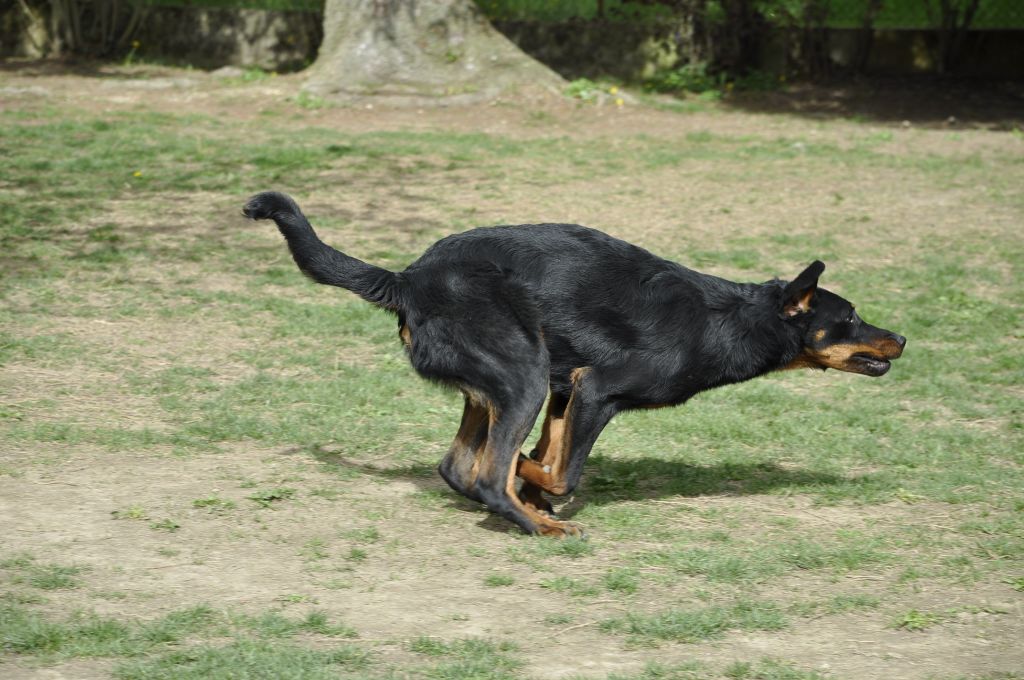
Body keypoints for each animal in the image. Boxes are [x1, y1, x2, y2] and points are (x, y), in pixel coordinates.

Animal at [245, 191, 905, 536]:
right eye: (850, 317)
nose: (900, 338)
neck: (730, 318)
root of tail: (406, 280)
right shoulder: (596, 390)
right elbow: (561, 471)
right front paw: (537, 490)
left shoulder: (569, 390)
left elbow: (552, 454)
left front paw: (533, 484)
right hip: (522, 377)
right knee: (484, 475)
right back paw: (540, 525)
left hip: (506, 383)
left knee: (459, 466)